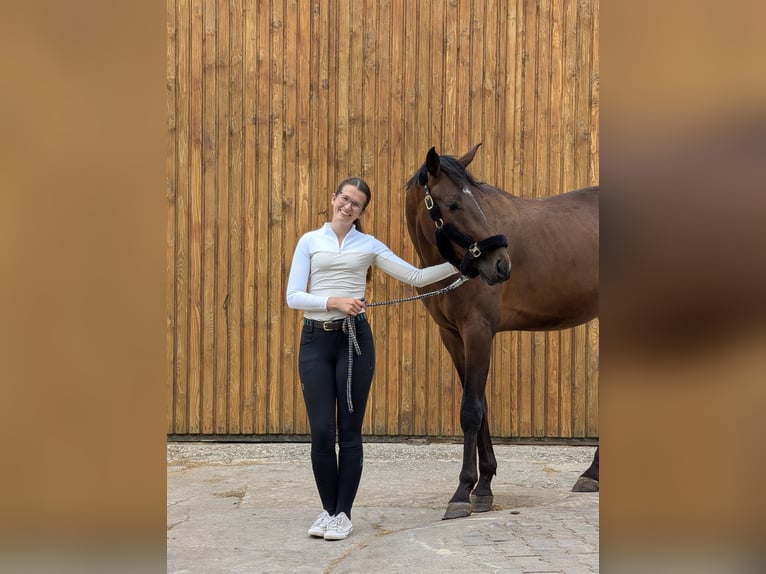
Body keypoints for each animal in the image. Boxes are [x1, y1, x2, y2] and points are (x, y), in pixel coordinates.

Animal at [404, 144, 599, 519]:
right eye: (453, 204)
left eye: (478, 201)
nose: (500, 264)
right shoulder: (453, 336)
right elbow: (479, 404)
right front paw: (483, 486)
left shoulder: (478, 330)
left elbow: (470, 410)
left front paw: (462, 492)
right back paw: (592, 474)